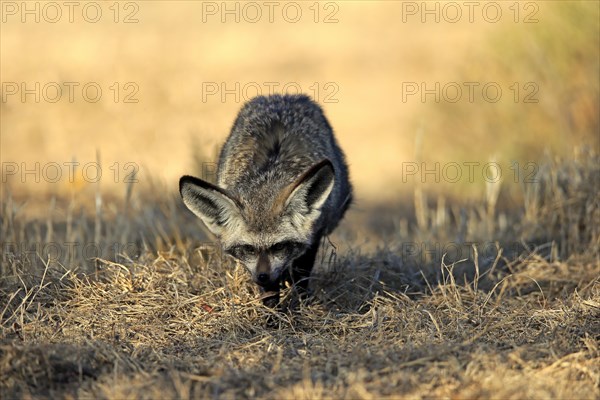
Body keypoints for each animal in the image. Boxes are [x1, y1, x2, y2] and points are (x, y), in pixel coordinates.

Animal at [180, 95, 354, 308]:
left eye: (278, 246)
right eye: (248, 248)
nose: (263, 276)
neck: (269, 174)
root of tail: (283, 96)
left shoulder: (314, 235)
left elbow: (301, 276)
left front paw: (300, 304)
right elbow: (271, 291)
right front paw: (272, 311)